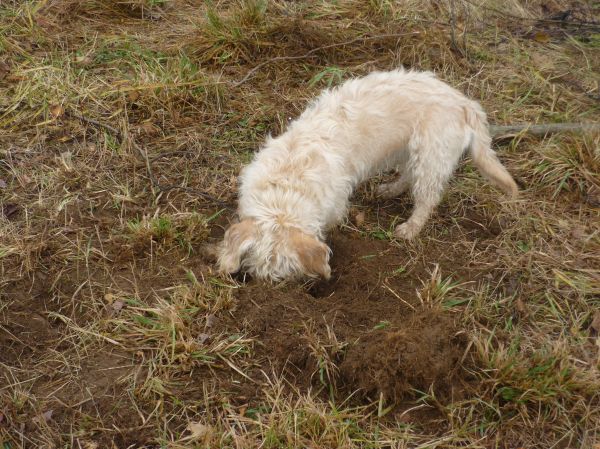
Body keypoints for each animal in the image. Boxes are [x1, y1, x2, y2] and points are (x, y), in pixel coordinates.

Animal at [218, 69, 516, 280]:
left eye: (284, 273)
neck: (287, 182)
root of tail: (465, 103)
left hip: (431, 155)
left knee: (428, 197)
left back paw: (410, 228)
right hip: (409, 150)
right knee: (407, 176)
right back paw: (388, 190)